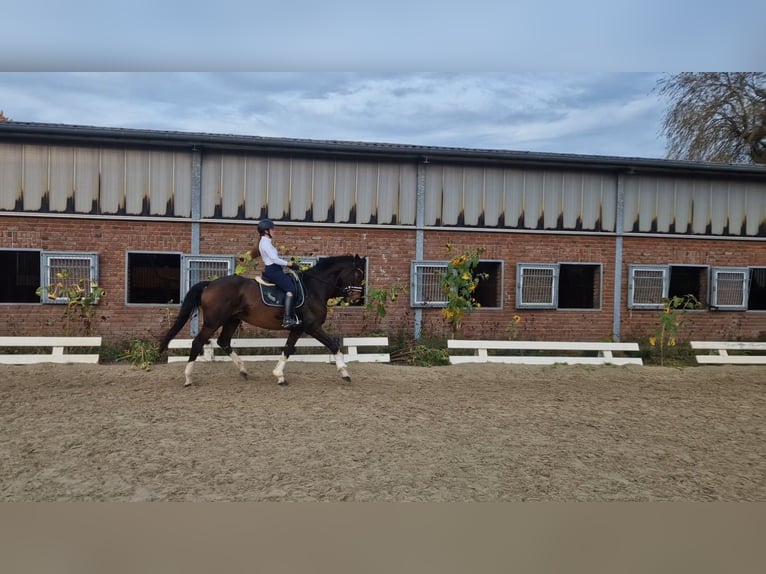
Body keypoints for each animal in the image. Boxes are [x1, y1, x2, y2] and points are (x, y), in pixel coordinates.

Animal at [158, 255, 368, 388]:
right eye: (358, 274)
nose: (357, 298)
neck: (314, 288)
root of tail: (210, 284)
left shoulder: (298, 328)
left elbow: (288, 349)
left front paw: (279, 376)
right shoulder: (312, 326)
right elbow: (333, 345)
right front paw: (345, 373)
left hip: (232, 320)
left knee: (223, 342)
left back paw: (243, 371)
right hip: (213, 321)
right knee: (198, 342)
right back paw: (188, 379)